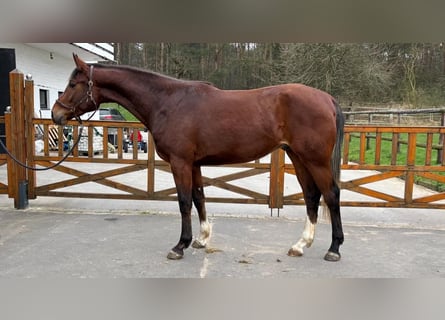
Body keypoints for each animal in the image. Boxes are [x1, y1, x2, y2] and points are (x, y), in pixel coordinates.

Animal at [51, 53, 344, 262]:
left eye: (73, 84)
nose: (56, 114)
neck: (168, 101)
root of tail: (328, 99)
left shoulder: (180, 162)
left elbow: (183, 201)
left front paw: (180, 245)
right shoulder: (193, 164)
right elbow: (199, 197)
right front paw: (201, 239)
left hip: (315, 160)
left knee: (331, 195)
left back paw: (334, 248)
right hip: (298, 157)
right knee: (311, 196)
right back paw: (300, 245)